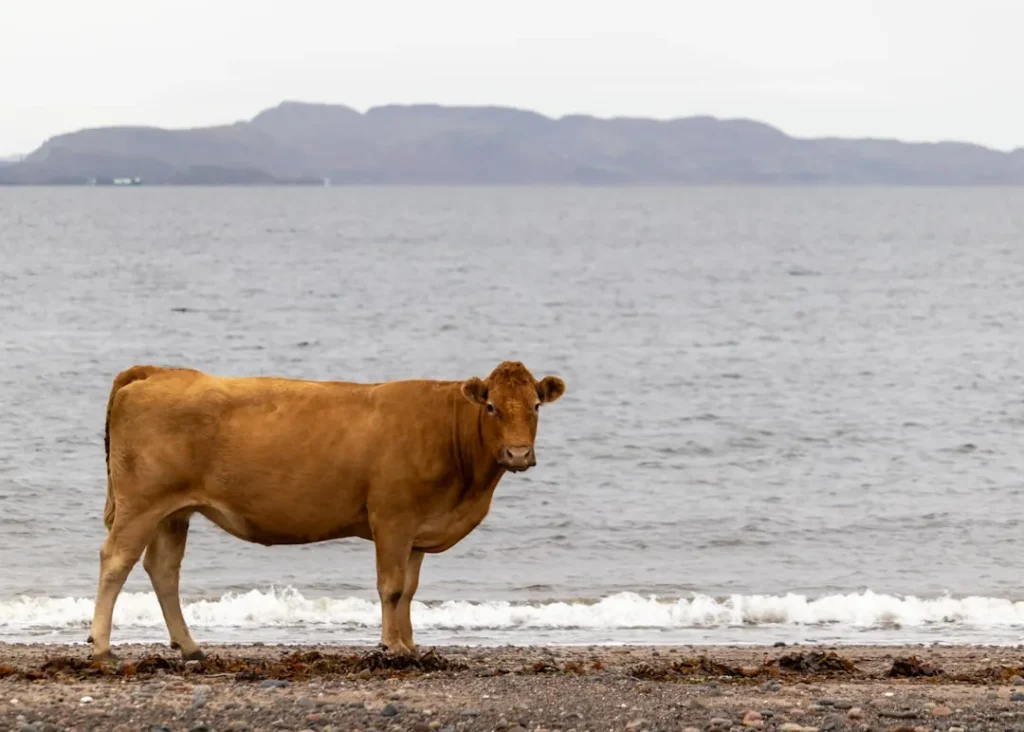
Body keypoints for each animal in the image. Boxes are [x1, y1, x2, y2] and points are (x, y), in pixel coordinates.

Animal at [87, 360, 566, 661]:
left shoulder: (418, 529)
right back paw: (102, 647)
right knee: (116, 561)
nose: (518, 453)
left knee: (164, 570)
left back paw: (190, 647)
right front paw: (391, 646)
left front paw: (410, 645)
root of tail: (157, 373)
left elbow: (409, 590)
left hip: (174, 511)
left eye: (535, 406)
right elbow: (391, 587)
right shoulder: (392, 518)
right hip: (141, 504)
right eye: (492, 407)